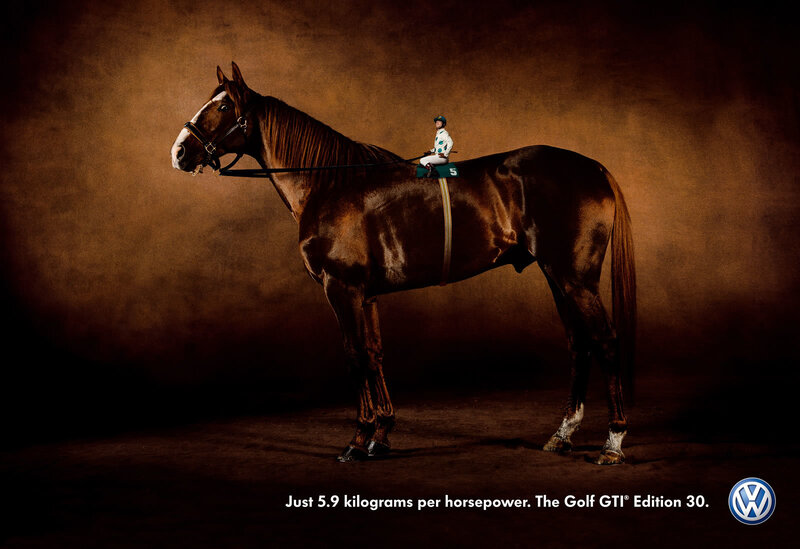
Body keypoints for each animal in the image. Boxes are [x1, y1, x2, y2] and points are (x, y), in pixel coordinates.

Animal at [170, 62, 636, 465]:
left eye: (223, 106)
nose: (179, 151)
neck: (331, 183)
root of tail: (593, 167)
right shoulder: (366, 295)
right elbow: (375, 354)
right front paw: (382, 433)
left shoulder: (341, 289)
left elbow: (355, 355)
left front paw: (358, 439)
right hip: (557, 277)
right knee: (580, 343)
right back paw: (563, 434)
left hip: (575, 279)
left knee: (606, 341)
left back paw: (613, 441)